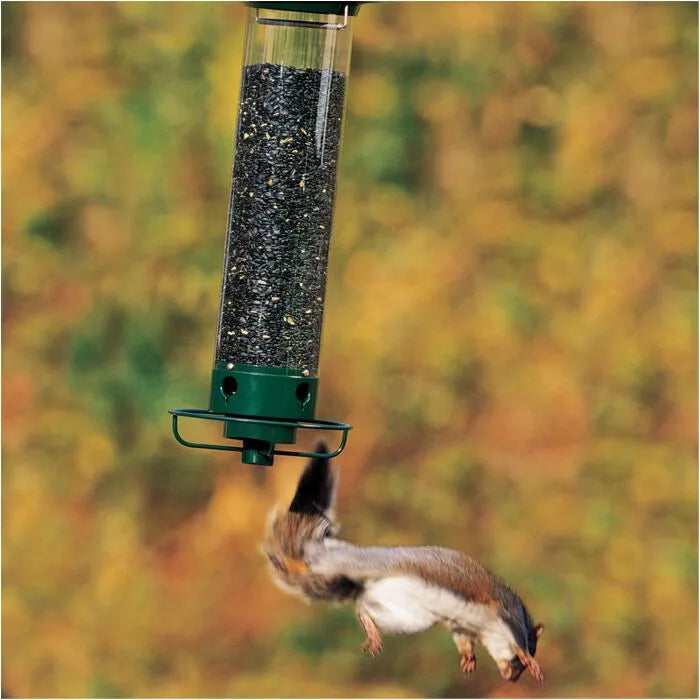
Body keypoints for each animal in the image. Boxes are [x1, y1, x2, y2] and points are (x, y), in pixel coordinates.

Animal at [263, 443, 545, 683]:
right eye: (526, 654)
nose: (511, 678)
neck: (487, 630)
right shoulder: (505, 612)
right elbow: (517, 642)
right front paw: (529, 661)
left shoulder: (463, 628)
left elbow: (464, 642)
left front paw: (468, 660)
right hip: (354, 568)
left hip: (406, 615)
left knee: (364, 606)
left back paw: (371, 630)